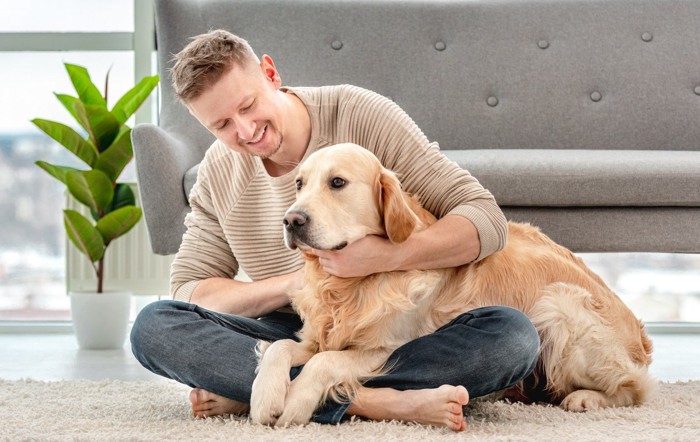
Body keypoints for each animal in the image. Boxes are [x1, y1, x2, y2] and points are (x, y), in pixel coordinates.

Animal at [247, 142, 656, 424]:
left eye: (337, 182)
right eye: (299, 184)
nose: (291, 220)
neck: (353, 285)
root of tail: (640, 337)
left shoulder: (386, 347)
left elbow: (324, 362)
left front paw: (296, 403)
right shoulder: (317, 336)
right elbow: (281, 346)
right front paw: (265, 397)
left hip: (558, 305)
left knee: (635, 388)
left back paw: (587, 398)